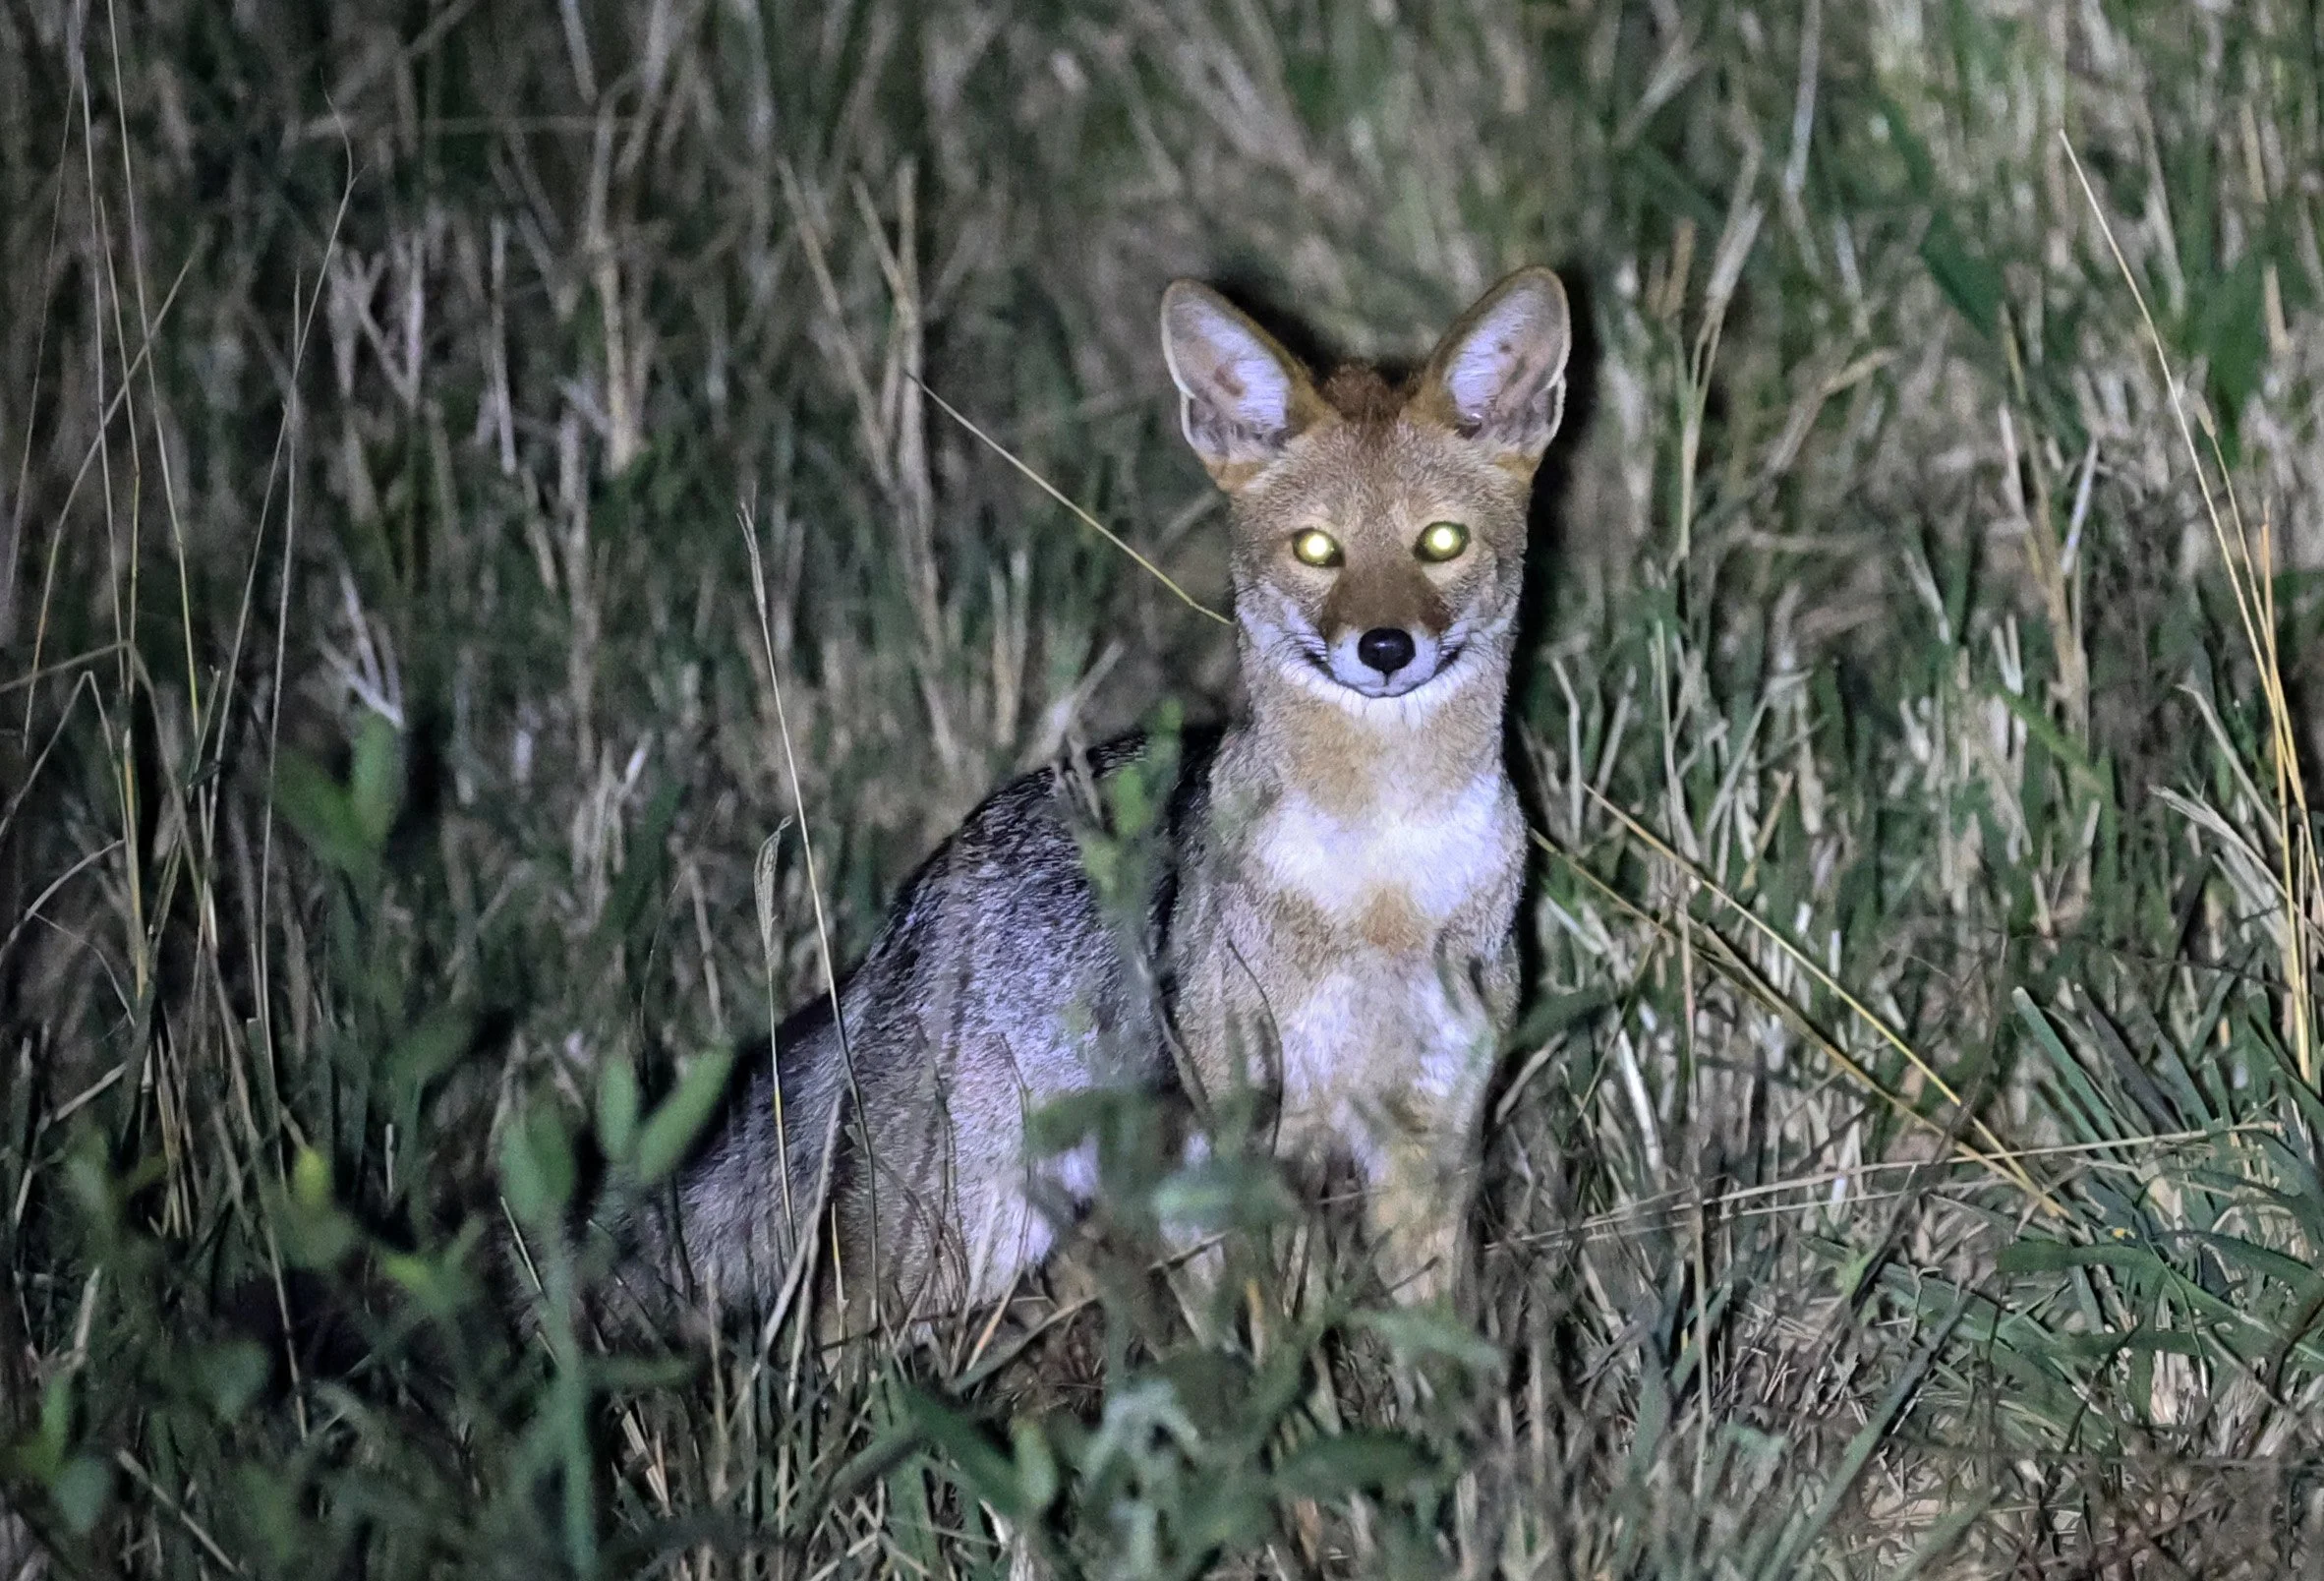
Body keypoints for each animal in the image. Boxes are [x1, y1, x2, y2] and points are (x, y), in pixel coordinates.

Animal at [624, 265, 1571, 1332]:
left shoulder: (1428, 1151)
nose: (1382, 648)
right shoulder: (1241, 1154)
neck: (1383, 879)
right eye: (1318, 550)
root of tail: (905, 917)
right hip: (950, 1251)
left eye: (1439, 543)